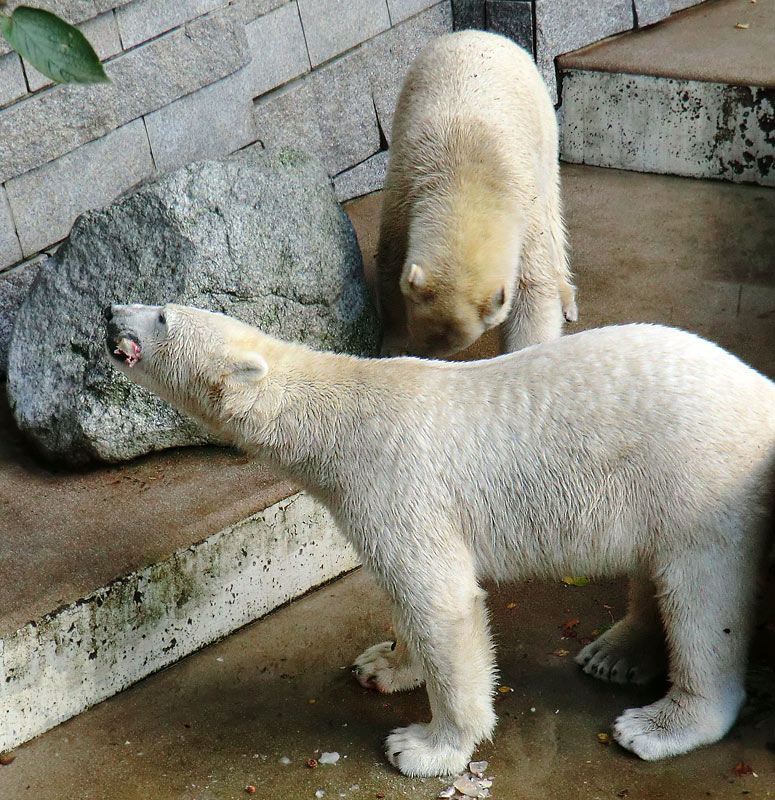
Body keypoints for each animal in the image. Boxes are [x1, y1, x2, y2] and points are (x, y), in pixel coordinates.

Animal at [104, 304, 775, 780]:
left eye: (162, 315)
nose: (111, 312)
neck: (338, 413)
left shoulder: (394, 479)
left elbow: (442, 603)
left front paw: (426, 747)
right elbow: (404, 597)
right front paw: (384, 664)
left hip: (699, 479)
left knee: (702, 598)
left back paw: (660, 724)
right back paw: (617, 653)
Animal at [376, 31, 576, 356]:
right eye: (420, 338)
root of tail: (478, 32)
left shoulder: (524, 213)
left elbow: (532, 292)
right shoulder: (403, 196)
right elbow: (390, 272)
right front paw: (392, 344)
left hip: (544, 121)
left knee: (552, 206)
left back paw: (567, 300)